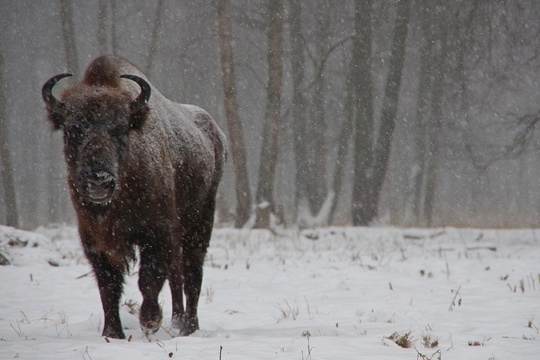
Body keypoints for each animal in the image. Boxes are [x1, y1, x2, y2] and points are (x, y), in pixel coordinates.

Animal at [42, 54, 228, 338]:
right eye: (72, 130)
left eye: (121, 129)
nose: (99, 180)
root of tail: (217, 135)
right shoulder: (94, 239)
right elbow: (108, 285)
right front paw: (112, 333)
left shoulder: (158, 232)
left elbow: (149, 280)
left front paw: (150, 321)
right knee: (178, 276)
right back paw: (179, 321)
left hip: (200, 223)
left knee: (192, 274)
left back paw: (189, 326)